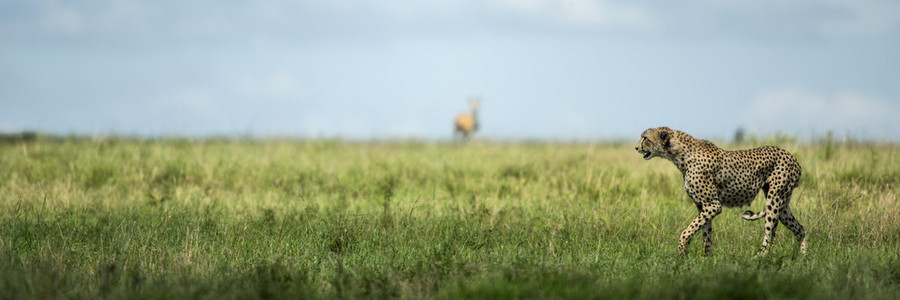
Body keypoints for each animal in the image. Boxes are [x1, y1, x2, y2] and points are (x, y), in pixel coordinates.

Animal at [632, 126, 808, 255]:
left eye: (645, 138)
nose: (636, 147)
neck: (679, 154)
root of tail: (794, 159)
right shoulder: (703, 206)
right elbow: (705, 233)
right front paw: (707, 259)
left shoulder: (713, 205)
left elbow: (686, 231)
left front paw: (682, 252)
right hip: (782, 204)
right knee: (800, 228)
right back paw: (803, 257)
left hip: (774, 200)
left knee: (770, 233)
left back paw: (760, 257)